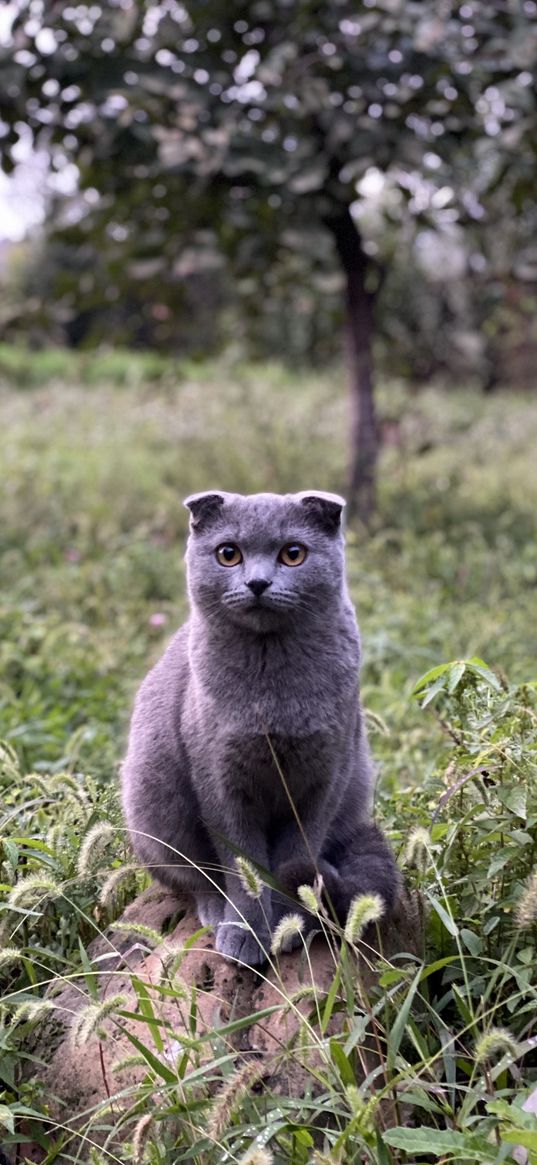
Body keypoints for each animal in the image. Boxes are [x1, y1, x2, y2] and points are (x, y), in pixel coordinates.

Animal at [121, 489, 398, 964]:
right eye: (228, 554)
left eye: (293, 554)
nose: (258, 583)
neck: (272, 691)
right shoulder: (221, 782)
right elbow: (242, 866)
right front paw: (247, 932)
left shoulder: (324, 778)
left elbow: (294, 856)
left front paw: (290, 923)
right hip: (154, 797)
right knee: (194, 879)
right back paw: (215, 913)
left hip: (355, 782)